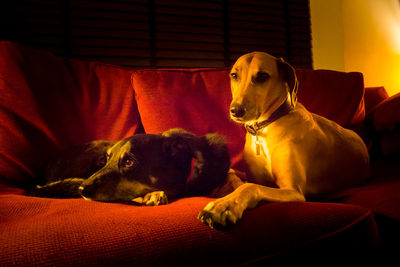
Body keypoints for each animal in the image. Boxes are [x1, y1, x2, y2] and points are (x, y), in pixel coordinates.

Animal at [198, 51, 370, 228]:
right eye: (234, 75)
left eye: (262, 76)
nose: (236, 110)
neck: (265, 127)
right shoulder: (255, 178)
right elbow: (238, 179)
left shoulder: (293, 191)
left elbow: (250, 187)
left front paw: (224, 206)